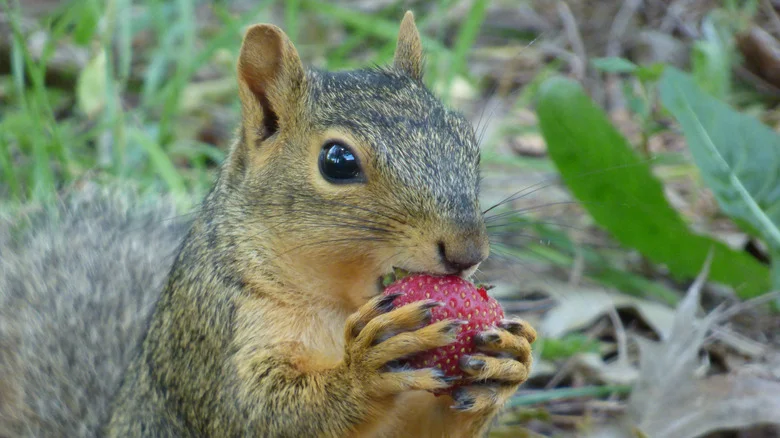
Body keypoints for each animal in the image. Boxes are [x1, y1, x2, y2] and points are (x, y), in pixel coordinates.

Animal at [0, 12, 536, 438]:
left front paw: (506, 361)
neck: (340, 305)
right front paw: (362, 368)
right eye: (337, 161)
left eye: (467, 140)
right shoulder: (216, 332)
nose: (468, 251)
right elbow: (257, 416)